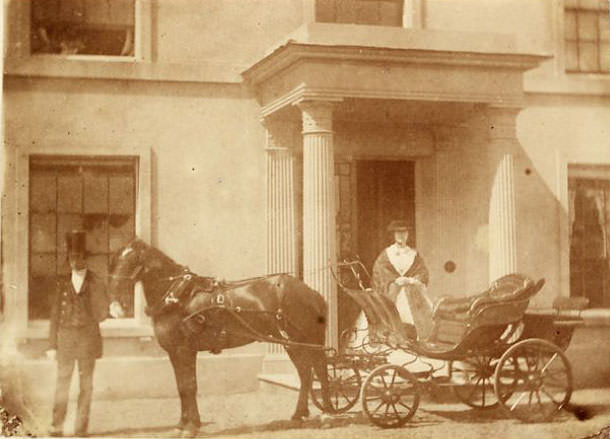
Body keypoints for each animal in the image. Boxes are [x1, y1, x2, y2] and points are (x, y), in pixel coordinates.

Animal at [105, 239, 332, 438]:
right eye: (115, 260)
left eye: (131, 261)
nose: (115, 302)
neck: (178, 298)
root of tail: (312, 293)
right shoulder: (175, 353)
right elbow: (182, 387)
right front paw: (183, 425)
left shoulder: (184, 350)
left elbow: (189, 386)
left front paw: (190, 427)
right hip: (291, 343)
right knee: (305, 373)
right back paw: (298, 415)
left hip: (307, 339)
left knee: (320, 370)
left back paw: (327, 414)